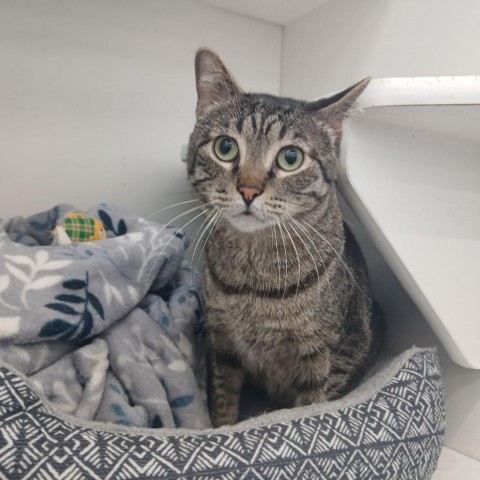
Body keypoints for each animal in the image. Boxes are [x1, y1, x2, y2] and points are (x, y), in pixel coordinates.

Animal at [186, 48, 380, 428]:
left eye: (291, 157)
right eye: (225, 147)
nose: (248, 190)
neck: (253, 280)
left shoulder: (330, 359)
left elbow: (311, 409)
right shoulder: (222, 344)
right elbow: (223, 402)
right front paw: (222, 427)